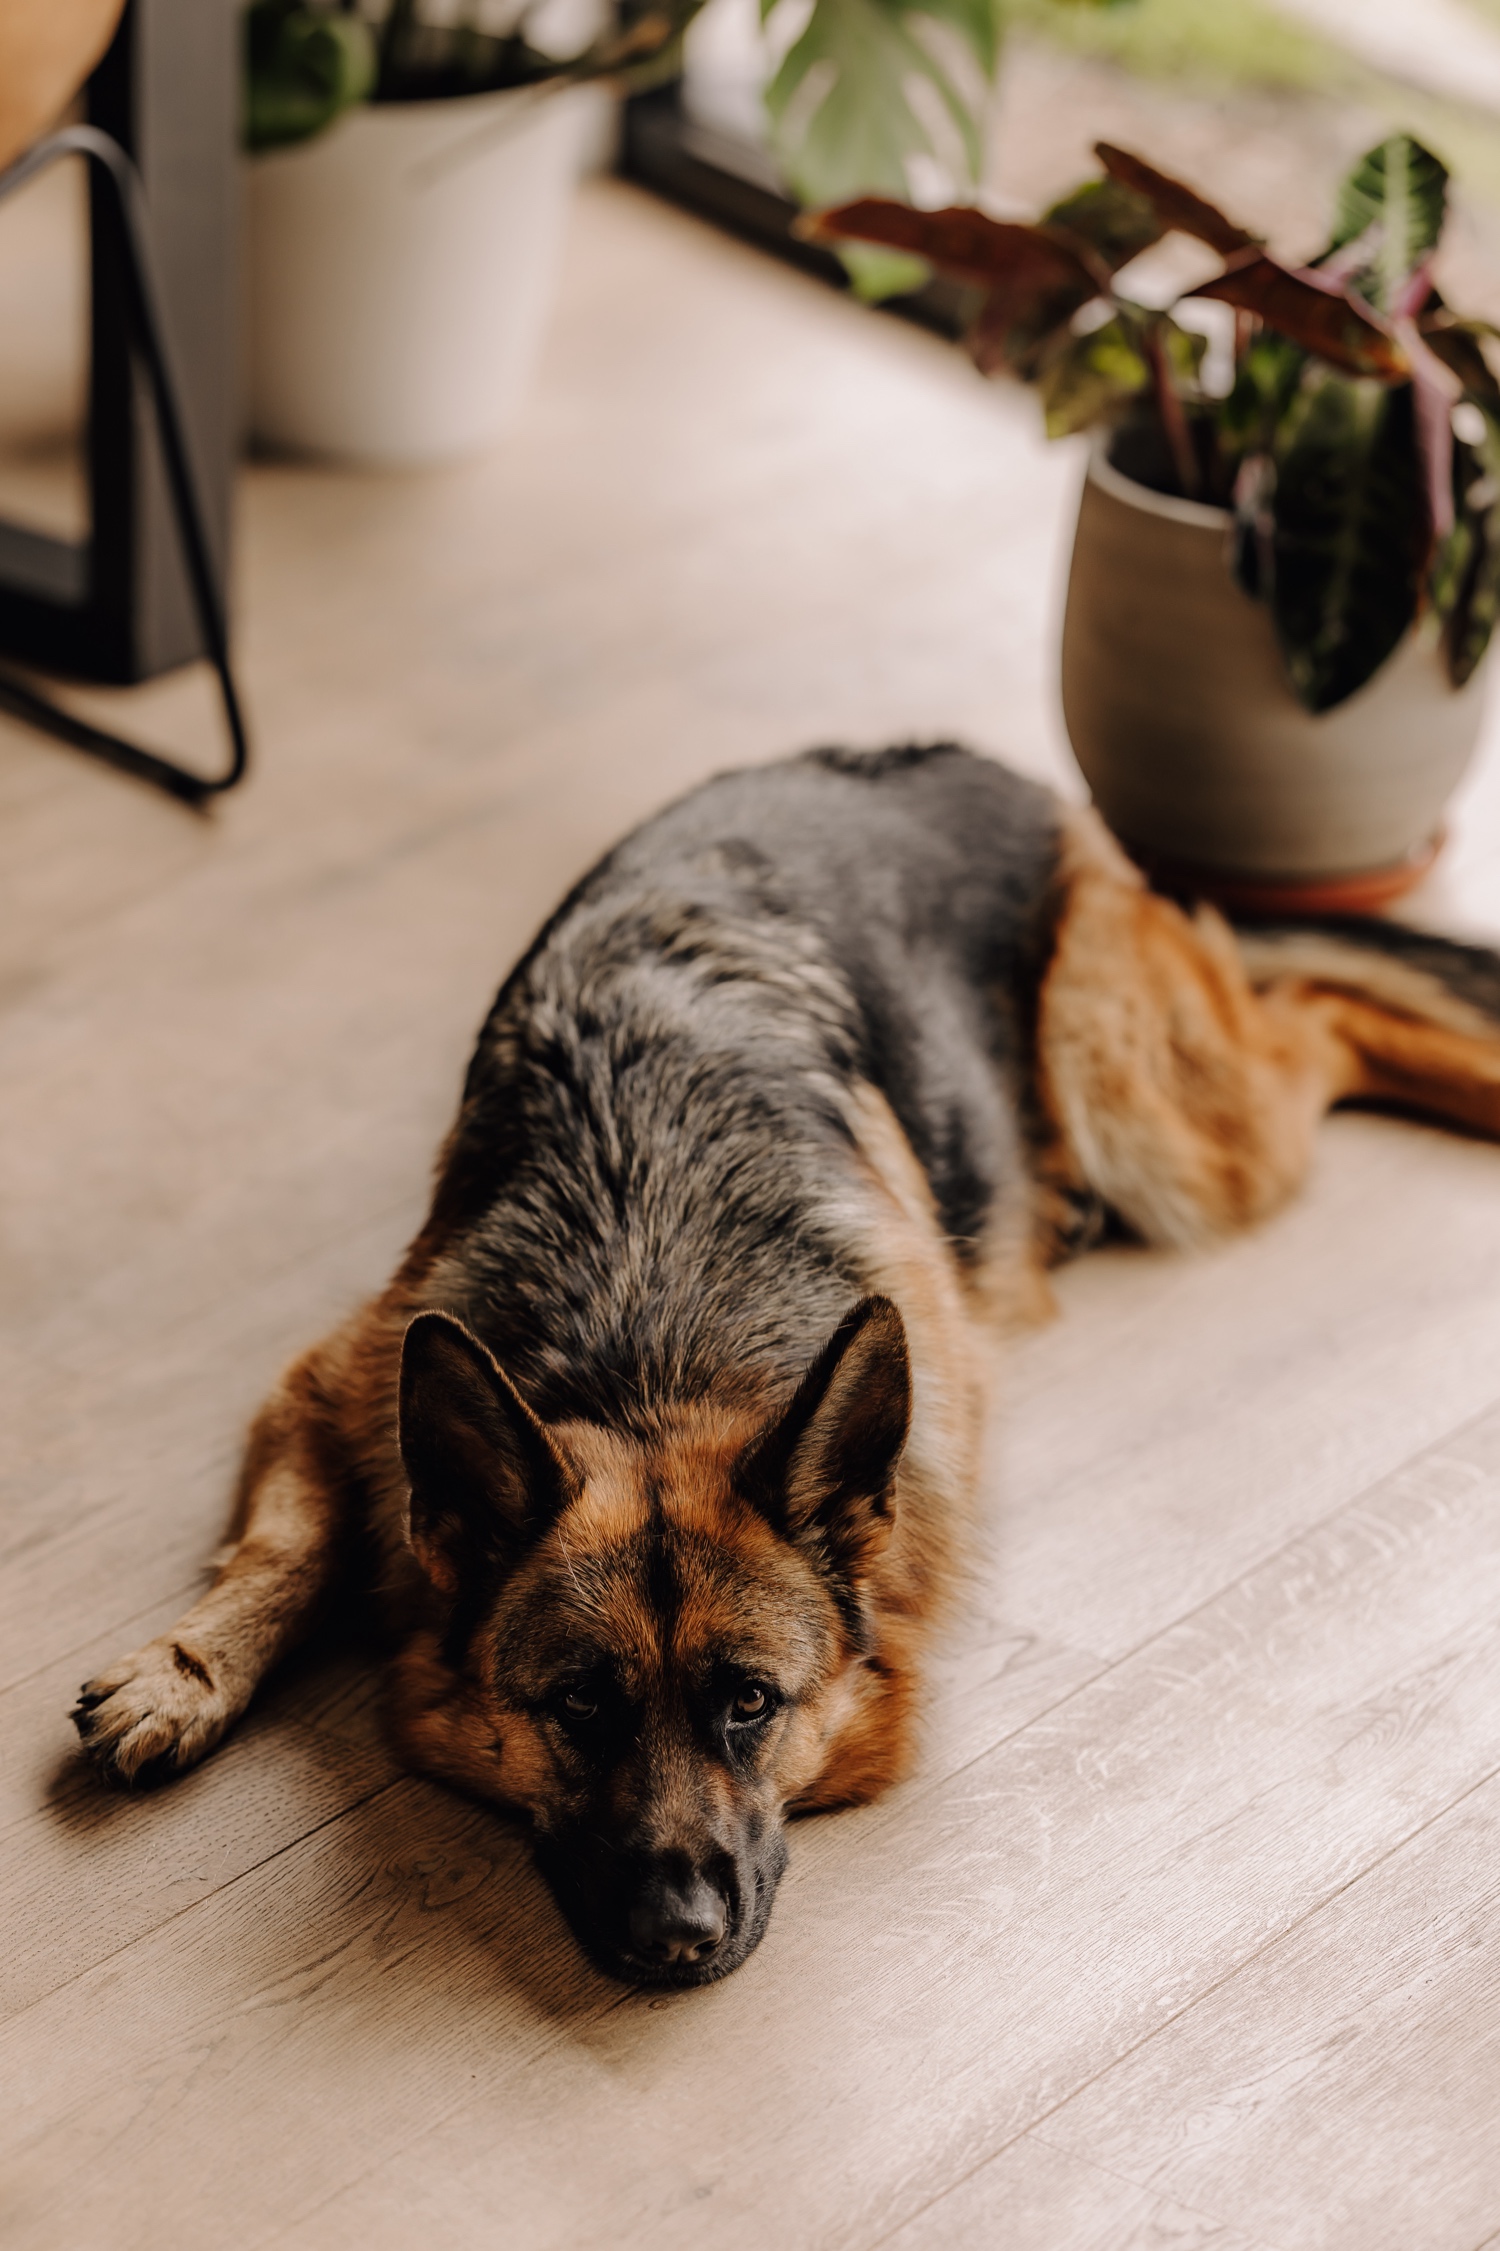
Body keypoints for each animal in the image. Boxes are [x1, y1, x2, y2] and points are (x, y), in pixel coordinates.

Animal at [73, 747, 1500, 1980]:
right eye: (579, 1708)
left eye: (750, 1703)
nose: (678, 1937)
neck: (650, 1332)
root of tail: (996, 770)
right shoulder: (339, 1382)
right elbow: (284, 1547)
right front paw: (184, 1671)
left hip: (1157, 1111)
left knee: (1322, 1019)